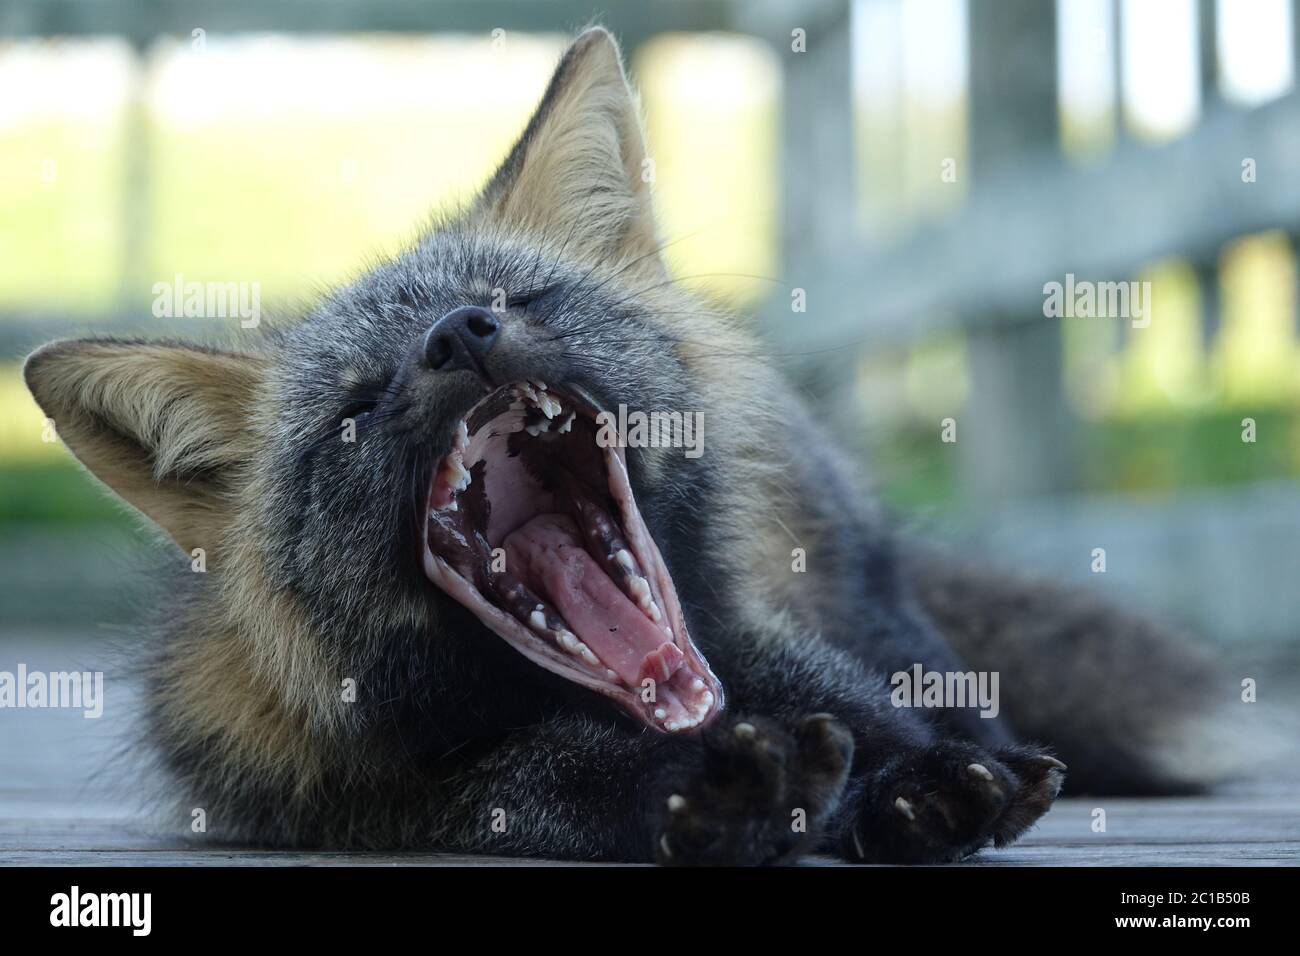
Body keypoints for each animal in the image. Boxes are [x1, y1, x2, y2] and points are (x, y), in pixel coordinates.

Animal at [23, 27, 1226, 865]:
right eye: (356, 409)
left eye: (518, 297)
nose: (458, 334)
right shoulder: (380, 790)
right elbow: (555, 776)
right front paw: (718, 793)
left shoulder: (751, 628)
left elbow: (849, 697)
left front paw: (909, 781)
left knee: (936, 669)